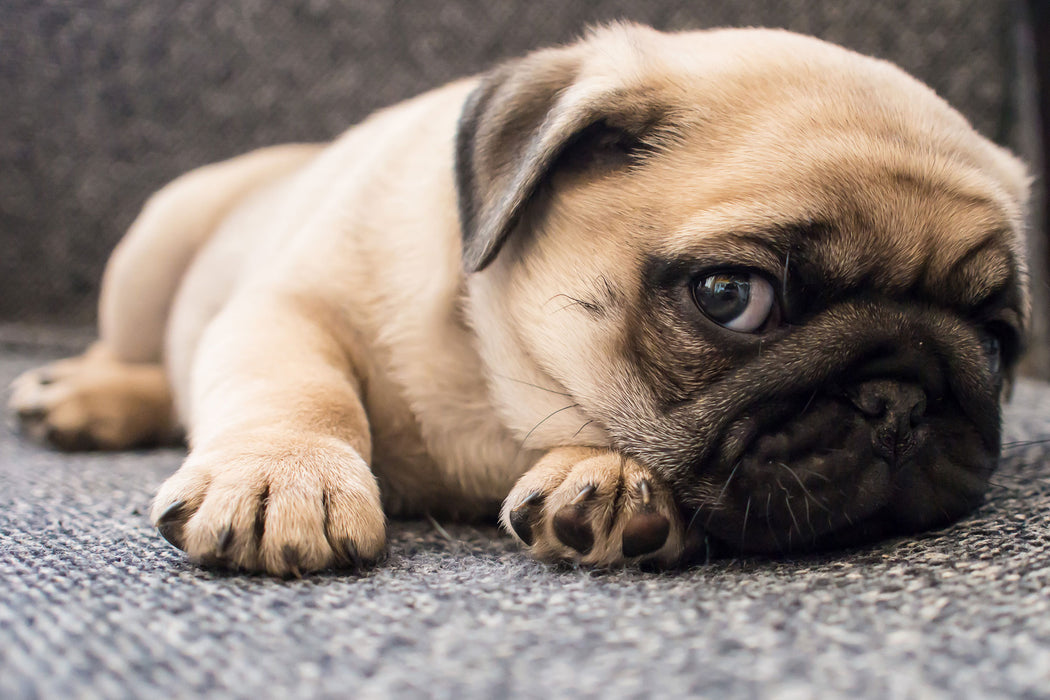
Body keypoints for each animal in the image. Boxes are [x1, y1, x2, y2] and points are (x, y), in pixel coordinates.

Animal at [8, 24, 1024, 579]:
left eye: (997, 340)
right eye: (732, 298)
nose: (899, 400)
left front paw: (610, 478)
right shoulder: (289, 306)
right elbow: (297, 386)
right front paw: (281, 477)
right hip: (151, 251)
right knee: (138, 355)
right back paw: (86, 396)